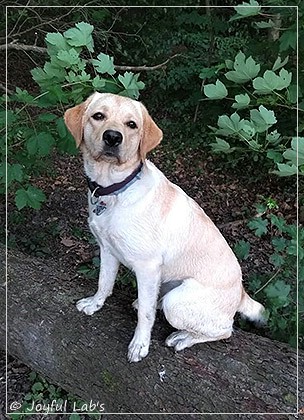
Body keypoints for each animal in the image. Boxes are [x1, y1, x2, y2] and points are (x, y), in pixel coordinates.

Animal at [64, 93, 264, 362]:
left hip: (178, 301)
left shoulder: (147, 267)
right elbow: (104, 283)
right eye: (98, 116)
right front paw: (95, 304)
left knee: (225, 330)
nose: (113, 137)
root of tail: (241, 294)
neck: (115, 189)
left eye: (131, 124)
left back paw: (183, 337)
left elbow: (145, 315)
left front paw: (140, 345)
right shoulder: (107, 250)